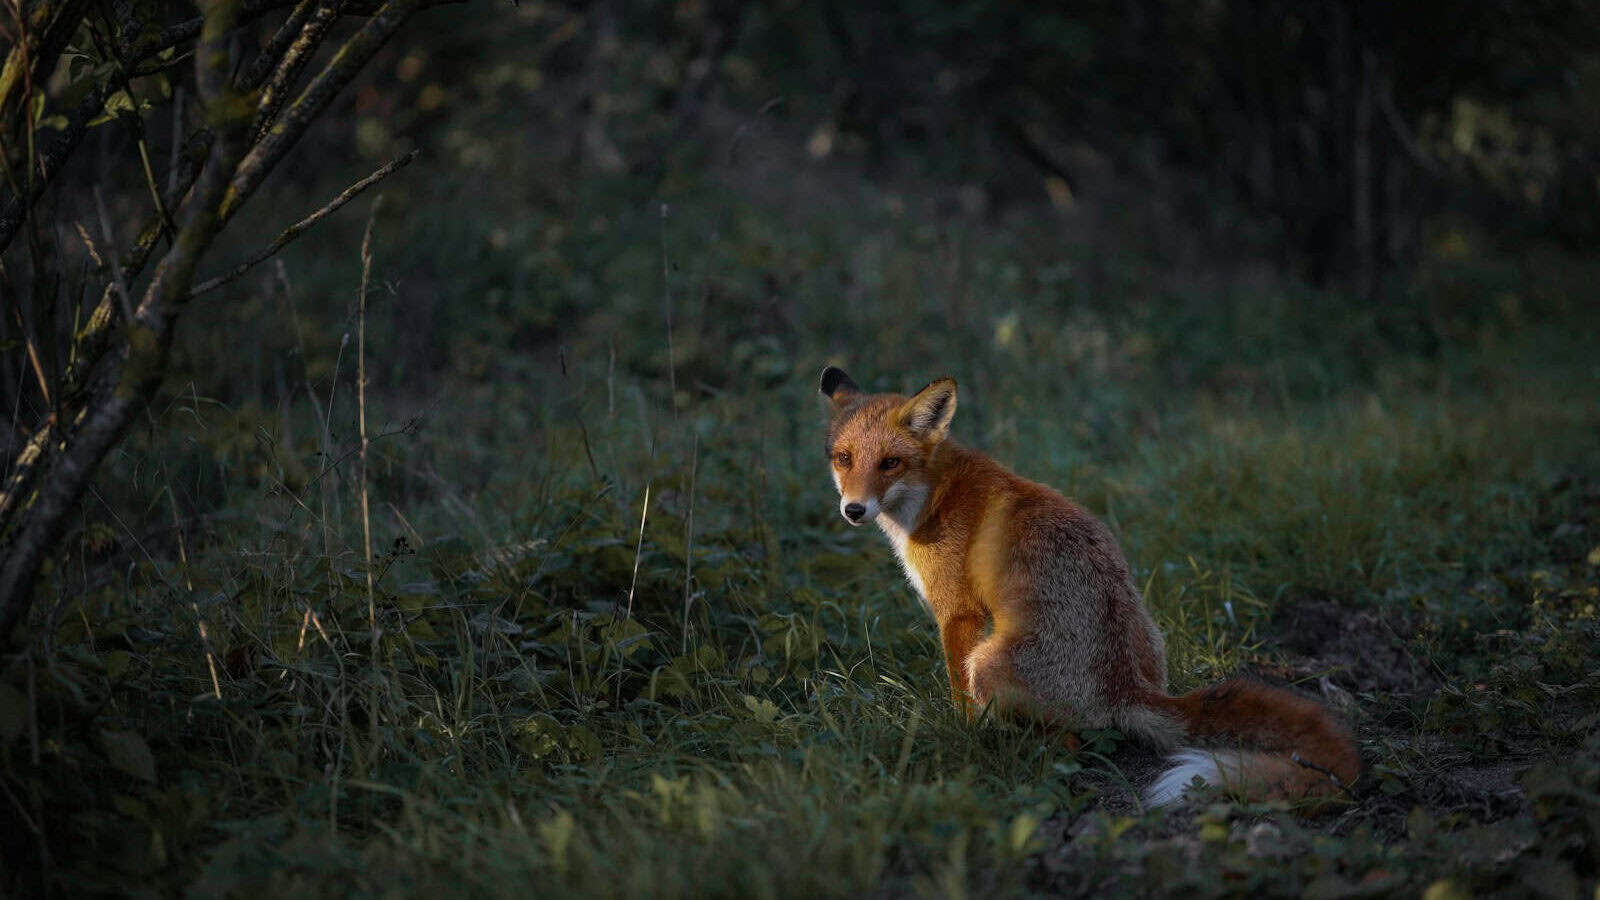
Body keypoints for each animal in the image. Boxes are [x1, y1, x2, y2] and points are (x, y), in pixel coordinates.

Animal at [818, 366, 1360, 806]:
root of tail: (1125, 687)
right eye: (843, 458)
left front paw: (962, 732)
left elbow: (958, 695)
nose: (853, 510)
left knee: (1071, 742)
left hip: (988, 663)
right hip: (1147, 633)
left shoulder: (959, 613)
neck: (933, 495)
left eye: (889, 463)